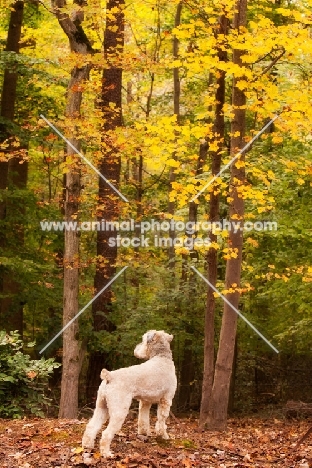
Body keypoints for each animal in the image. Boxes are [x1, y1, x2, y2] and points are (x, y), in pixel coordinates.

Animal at [81, 330, 177, 458]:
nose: (136, 349)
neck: (162, 357)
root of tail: (109, 376)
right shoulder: (166, 400)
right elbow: (162, 420)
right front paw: (164, 435)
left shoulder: (145, 402)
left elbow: (143, 419)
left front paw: (144, 433)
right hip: (119, 411)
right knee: (106, 433)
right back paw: (107, 453)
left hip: (101, 407)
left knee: (91, 427)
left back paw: (87, 446)